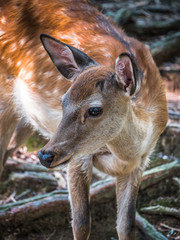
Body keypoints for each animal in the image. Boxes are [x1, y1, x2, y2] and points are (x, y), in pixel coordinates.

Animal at [0, 0, 168, 240]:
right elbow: (81, 224)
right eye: (63, 100)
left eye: (95, 109)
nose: (44, 155)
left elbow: (126, 225)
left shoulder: (141, 162)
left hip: (24, 117)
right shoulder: (79, 157)